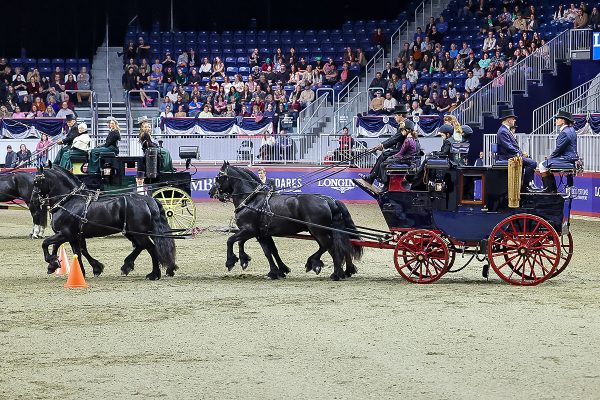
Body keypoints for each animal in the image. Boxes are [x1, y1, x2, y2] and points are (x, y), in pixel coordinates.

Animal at [32, 164, 177, 280]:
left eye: (37, 181)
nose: (33, 200)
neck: (69, 201)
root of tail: (147, 199)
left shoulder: (66, 233)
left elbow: (46, 243)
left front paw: (52, 262)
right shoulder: (74, 236)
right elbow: (78, 252)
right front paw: (85, 270)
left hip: (138, 233)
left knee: (150, 247)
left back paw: (154, 274)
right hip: (131, 232)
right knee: (141, 246)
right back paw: (128, 266)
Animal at [209, 161, 364, 280]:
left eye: (218, 177)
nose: (211, 192)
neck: (252, 200)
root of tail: (329, 200)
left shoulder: (249, 230)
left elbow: (231, 240)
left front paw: (232, 261)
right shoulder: (262, 233)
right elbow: (270, 251)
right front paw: (278, 271)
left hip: (318, 230)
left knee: (329, 246)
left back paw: (324, 268)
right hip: (320, 231)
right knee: (335, 246)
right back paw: (340, 271)